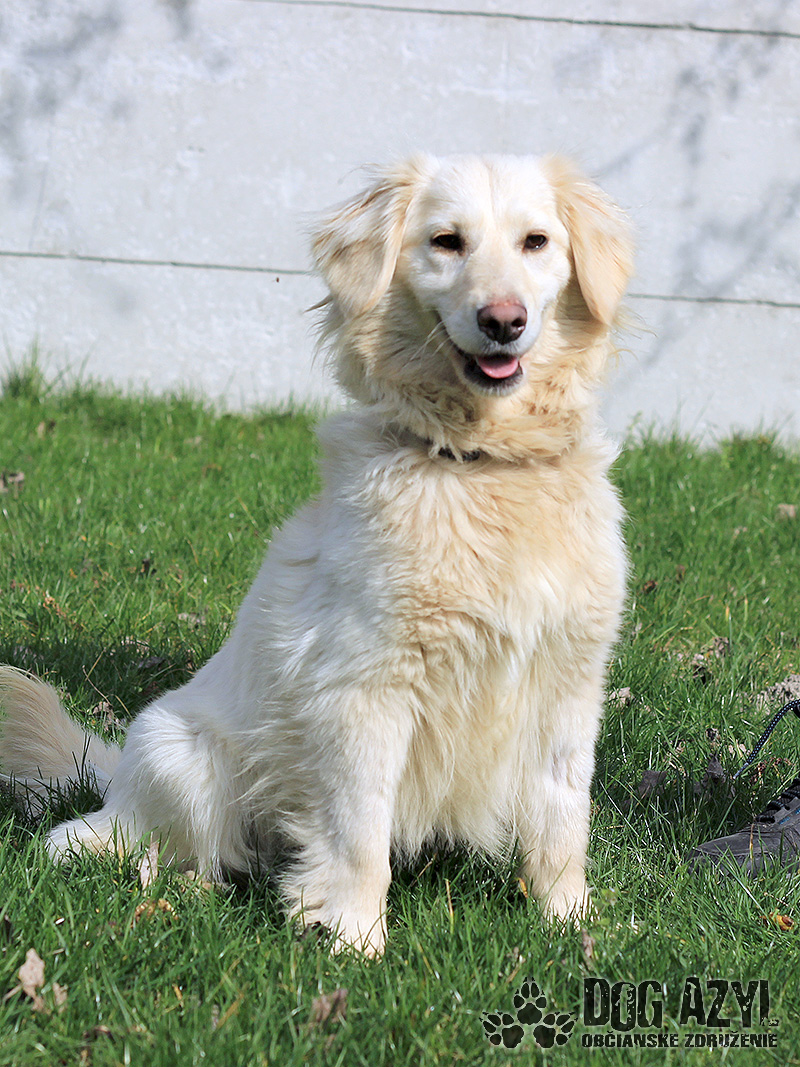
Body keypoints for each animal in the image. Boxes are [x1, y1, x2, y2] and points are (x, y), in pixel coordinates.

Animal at [0, 154, 633, 955]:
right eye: (447, 241)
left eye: (536, 242)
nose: (503, 320)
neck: (483, 463)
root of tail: (114, 779)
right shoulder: (365, 687)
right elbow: (359, 835)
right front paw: (355, 940)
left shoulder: (568, 682)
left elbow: (561, 820)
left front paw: (570, 926)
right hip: (186, 761)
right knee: (120, 846)